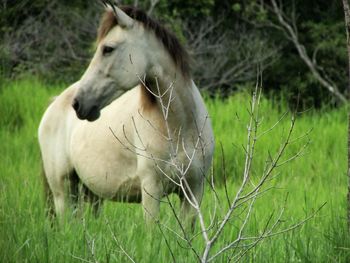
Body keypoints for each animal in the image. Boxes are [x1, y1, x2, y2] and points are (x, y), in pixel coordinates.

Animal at [37, 3, 213, 227]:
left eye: (107, 49)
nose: (78, 104)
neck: (180, 127)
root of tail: (55, 103)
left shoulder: (193, 191)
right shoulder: (151, 190)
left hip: (91, 193)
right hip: (64, 192)